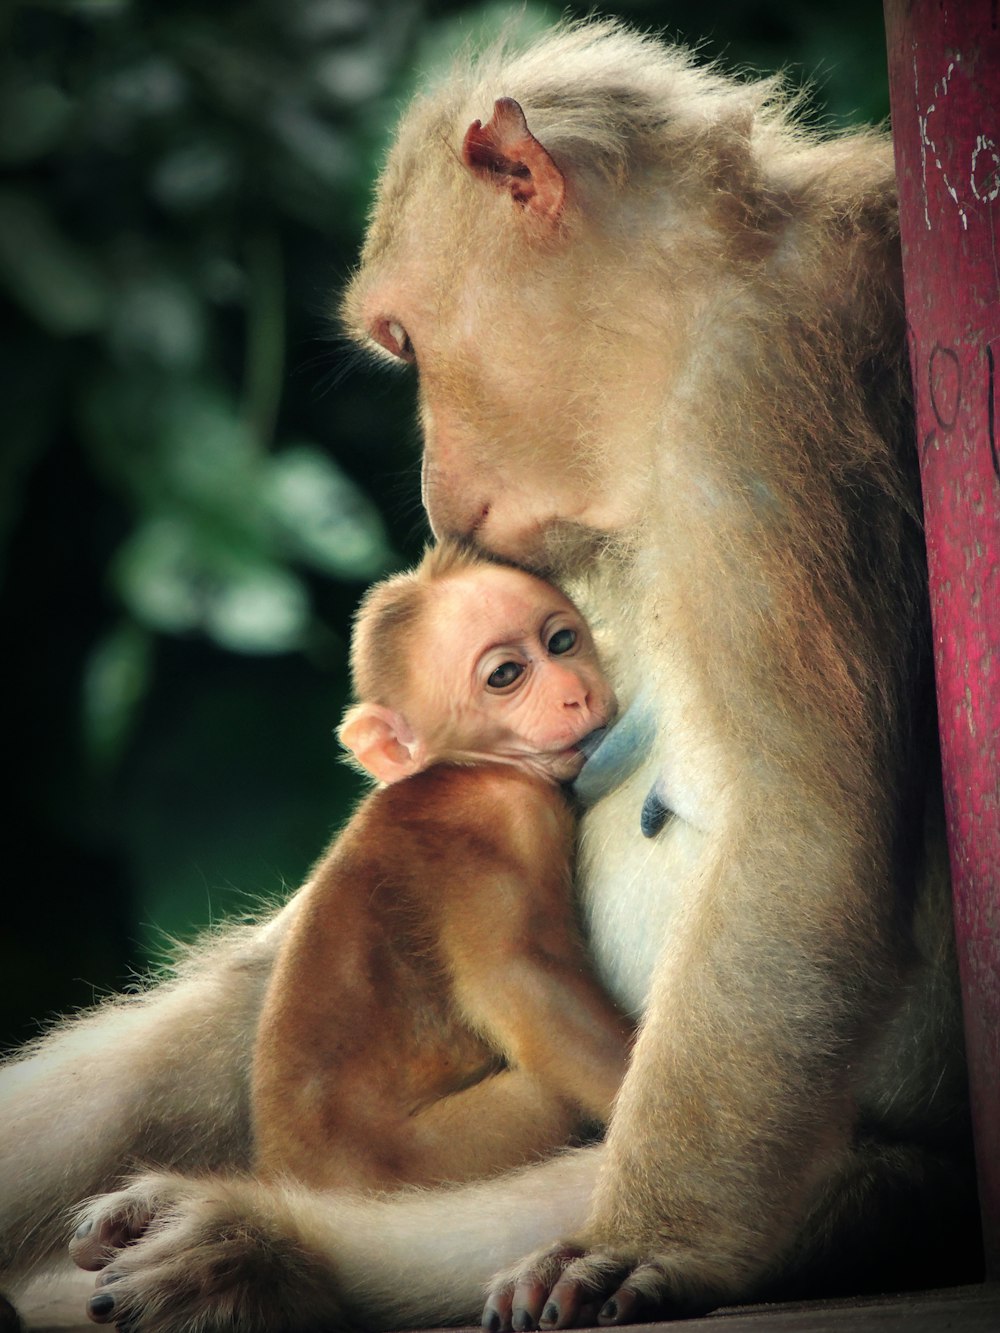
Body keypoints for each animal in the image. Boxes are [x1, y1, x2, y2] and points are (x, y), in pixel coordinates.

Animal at [250, 541, 629, 1189]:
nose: (576, 692)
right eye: (505, 676)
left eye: (561, 642)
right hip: (429, 1153)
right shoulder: (507, 814)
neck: (467, 767)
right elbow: (520, 985)